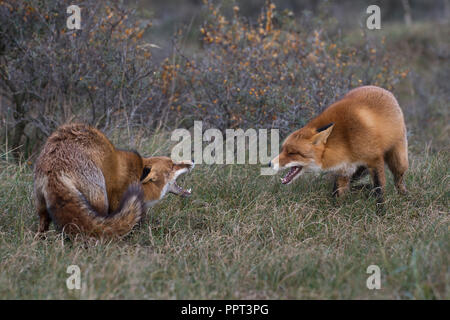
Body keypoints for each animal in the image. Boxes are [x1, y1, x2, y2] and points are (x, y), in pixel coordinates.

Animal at [33, 122, 192, 238]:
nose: (193, 161)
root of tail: (54, 166)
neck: (136, 176)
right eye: (172, 165)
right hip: (100, 198)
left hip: (42, 208)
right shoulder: (117, 202)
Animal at [268, 85, 410, 205]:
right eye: (283, 149)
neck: (345, 141)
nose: (270, 164)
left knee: (399, 180)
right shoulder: (343, 169)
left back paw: (404, 196)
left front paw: (380, 211)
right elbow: (337, 194)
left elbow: (379, 190)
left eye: (292, 153)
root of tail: (383, 90)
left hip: (399, 161)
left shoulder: (375, 160)